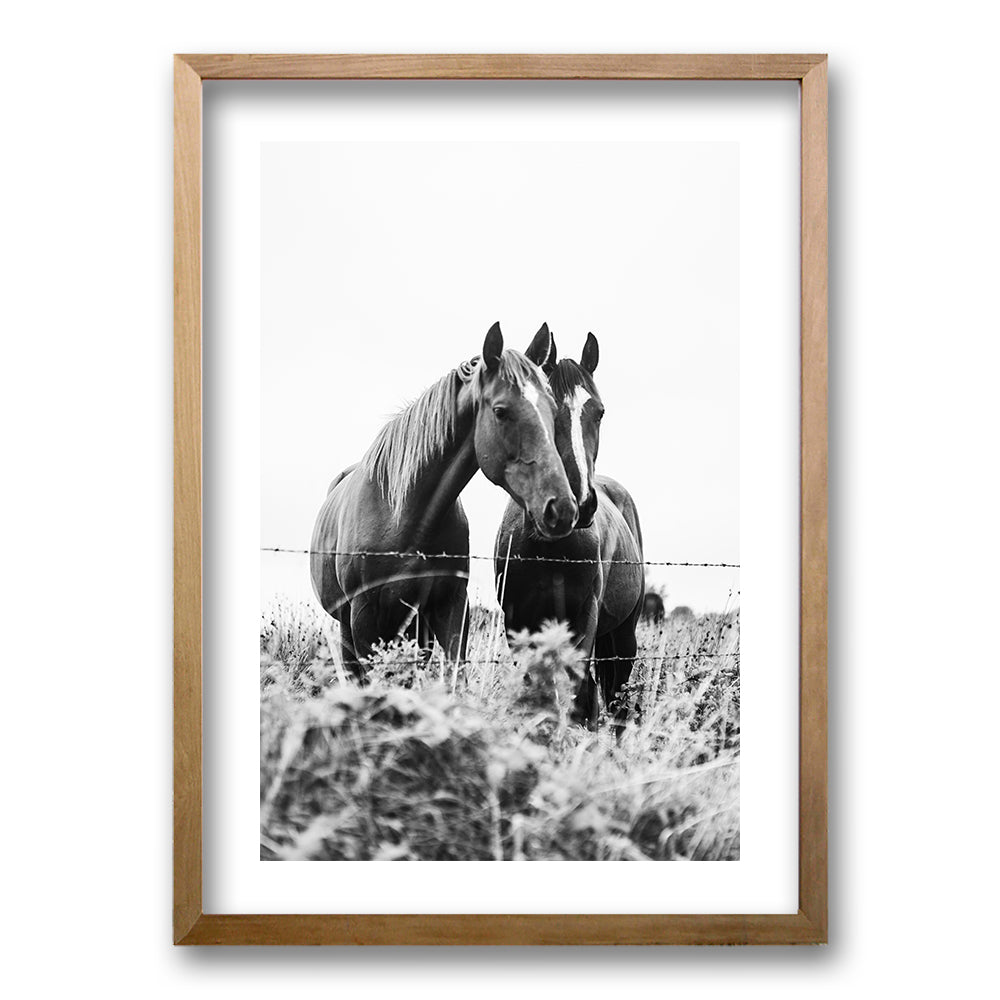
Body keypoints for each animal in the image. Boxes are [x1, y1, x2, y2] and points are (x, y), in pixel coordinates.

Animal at [311, 322, 578, 677]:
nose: (561, 508)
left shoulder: (449, 607)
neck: (404, 516)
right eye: (501, 411)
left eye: (553, 410)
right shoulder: (363, 616)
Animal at [494, 328, 645, 729]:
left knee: (613, 699)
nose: (580, 502)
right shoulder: (518, 622)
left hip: (623, 635)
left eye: (599, 412)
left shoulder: (584, 619)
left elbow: (578, 696)